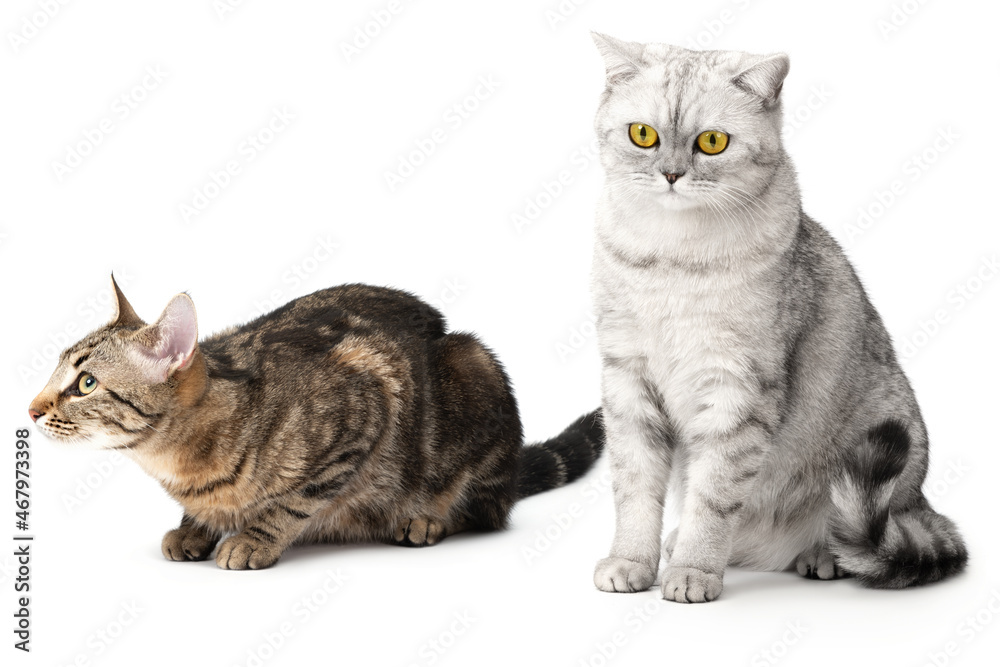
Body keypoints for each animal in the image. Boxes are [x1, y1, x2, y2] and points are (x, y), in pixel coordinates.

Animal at [29, 280, 600, 572]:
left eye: (85, 384)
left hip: (473, 367)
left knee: (486, 510)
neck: (181, 465)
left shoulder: (367, 407)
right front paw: (196, 528)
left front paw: (252, 538)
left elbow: (294, 502)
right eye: (56, 371)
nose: (30, 409)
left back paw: (427, 520)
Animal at [588, 34, 964, 604]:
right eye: (643, 134)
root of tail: (921, 504)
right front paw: (632, 560)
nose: (671, 174)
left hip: (885, 449)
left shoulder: (737, 387)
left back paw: (818, 555)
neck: (673, 258)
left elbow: (714, 495)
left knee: (857, 528)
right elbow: (634, 489)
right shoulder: (627, 379)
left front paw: (695, 570)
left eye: (712, 142)